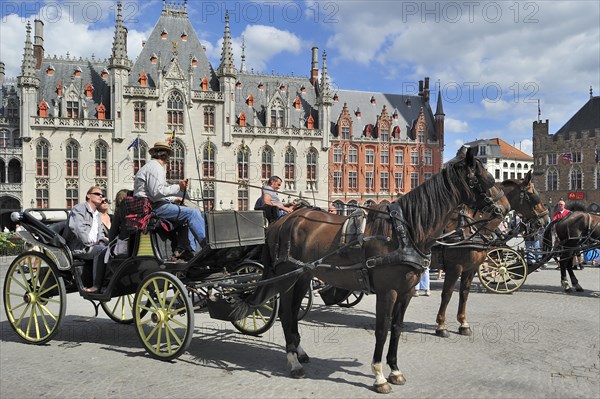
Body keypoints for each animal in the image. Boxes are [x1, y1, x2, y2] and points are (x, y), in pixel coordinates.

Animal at [234, 147, 496, 394]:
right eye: (484, 179)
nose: (498, 211)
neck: (404, 232)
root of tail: (283, 221)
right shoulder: (388, 291)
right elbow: (382, 329)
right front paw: (379, 376)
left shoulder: (407, 292)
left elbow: (397, 328)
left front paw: (395, 370)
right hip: (287, 277)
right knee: (287, 313)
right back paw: (294, 363)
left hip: (303, 276)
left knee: (293, 311)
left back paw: (300, 352)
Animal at [432, 170, 548, 340]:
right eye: (532, 194)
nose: (545, 219)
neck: (471, 227)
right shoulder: (455, 267)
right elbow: (447, 294)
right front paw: (441, 325)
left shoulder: (471, 268)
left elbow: (464, 293)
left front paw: (463, 323)